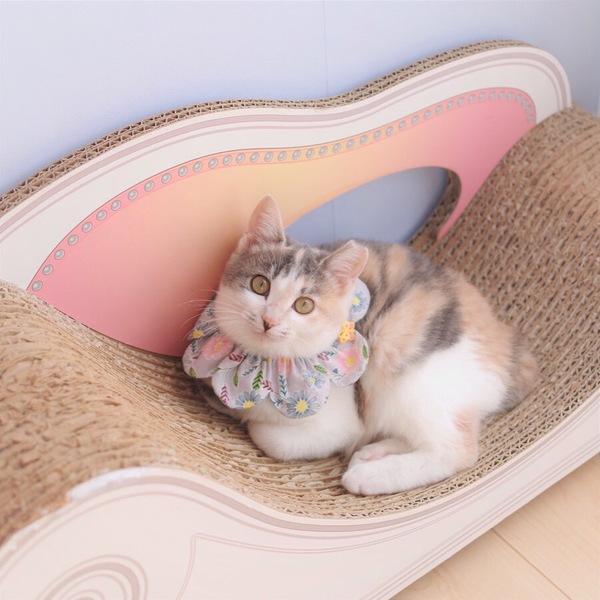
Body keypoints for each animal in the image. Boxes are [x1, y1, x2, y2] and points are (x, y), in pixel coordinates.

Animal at [185, 196, 539, 495]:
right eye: (260, 285)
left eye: (303, 305)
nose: (269, 320)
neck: (263, 366)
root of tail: (509, 344)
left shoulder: (340, 419)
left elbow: (273, 438)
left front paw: (252, 422)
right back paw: (374, 452)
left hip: (408, 374)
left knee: (455, 449)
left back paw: (372, 474)